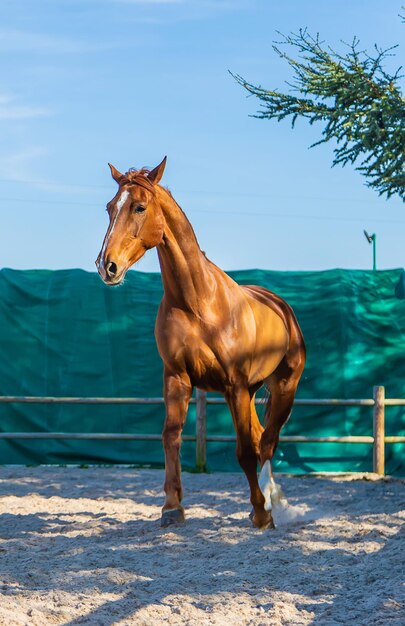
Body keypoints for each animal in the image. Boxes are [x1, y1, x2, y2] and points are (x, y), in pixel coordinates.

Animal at [95, 157, 304, 528]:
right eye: (109, 207)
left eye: (139, 206)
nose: (107, 266)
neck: (198, 302)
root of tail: (281, 306)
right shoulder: (177, 377)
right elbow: (171, 437)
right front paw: (171, 508)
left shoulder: (234, 385)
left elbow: (244, 451)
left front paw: (260, 511)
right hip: (251, 392)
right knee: (260, 436)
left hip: (283, 389)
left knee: (267, 442)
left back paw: (270, 505)